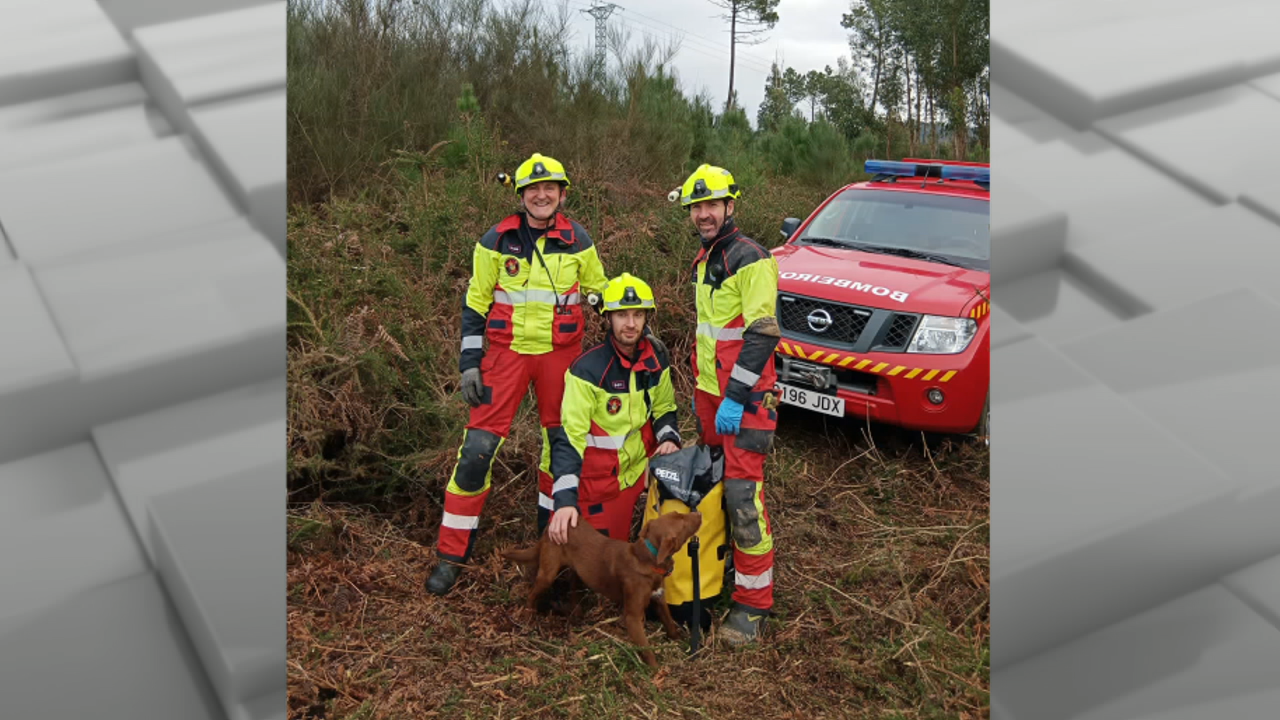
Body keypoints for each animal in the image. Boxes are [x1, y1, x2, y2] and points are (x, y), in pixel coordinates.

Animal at [501, 509, 706, 666]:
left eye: (679, 514)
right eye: (683, 521)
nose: (698, 512)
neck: (647, 557)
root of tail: (549, 528)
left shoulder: (659, 599)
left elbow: (670, 623)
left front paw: (681, 643)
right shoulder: (632, 617)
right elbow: (646, 648)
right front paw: (657, 674)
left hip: (577, 571)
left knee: (573, 588)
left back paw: (576, 613)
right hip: (548, 573)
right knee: (532, 594)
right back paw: (528, 616)